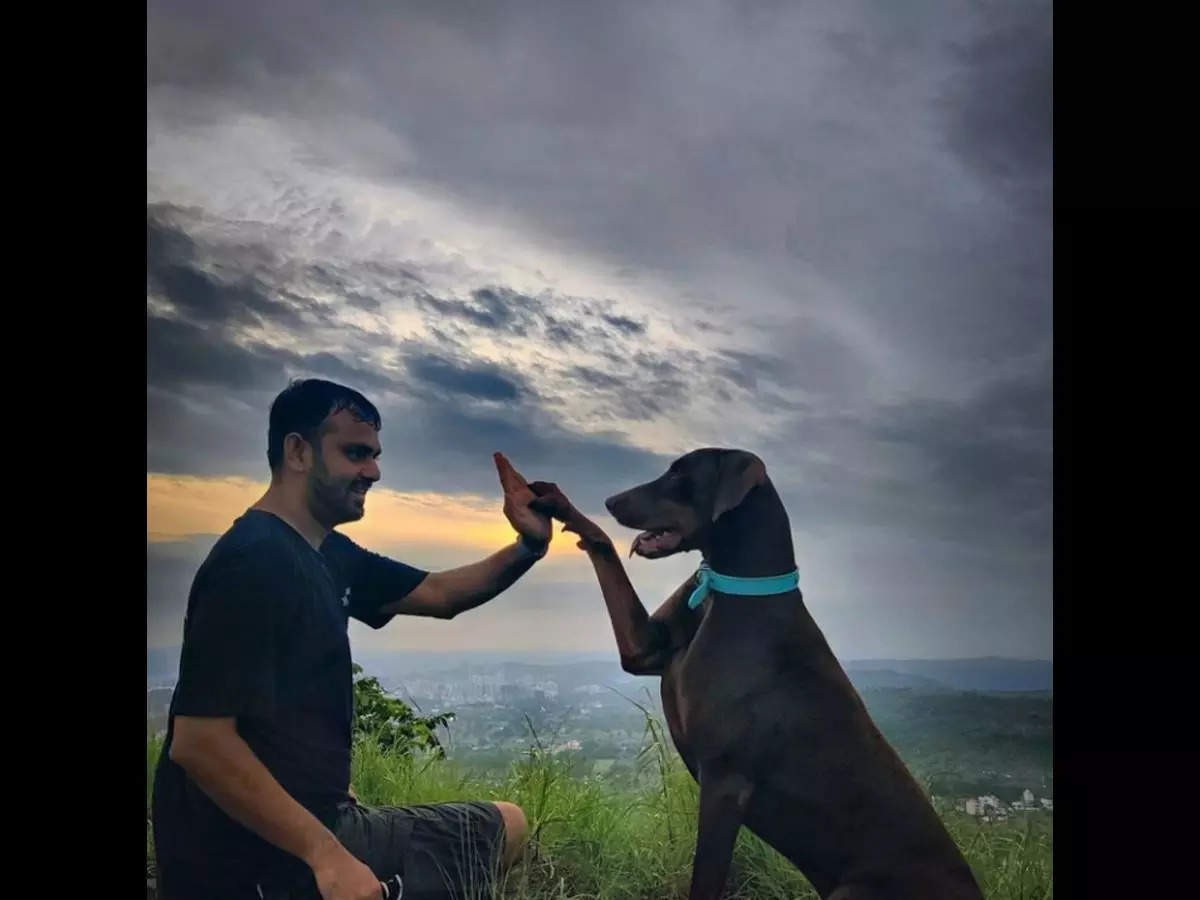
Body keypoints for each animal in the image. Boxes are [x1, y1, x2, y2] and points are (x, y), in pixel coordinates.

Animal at [528, 453, 984, 900]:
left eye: (679, 474)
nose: (610, 501)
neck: (729, 590)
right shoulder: (644, 647)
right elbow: (604, 546)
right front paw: (560, 505)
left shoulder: (724, 783)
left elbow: (706, 880)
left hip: (856, 891)